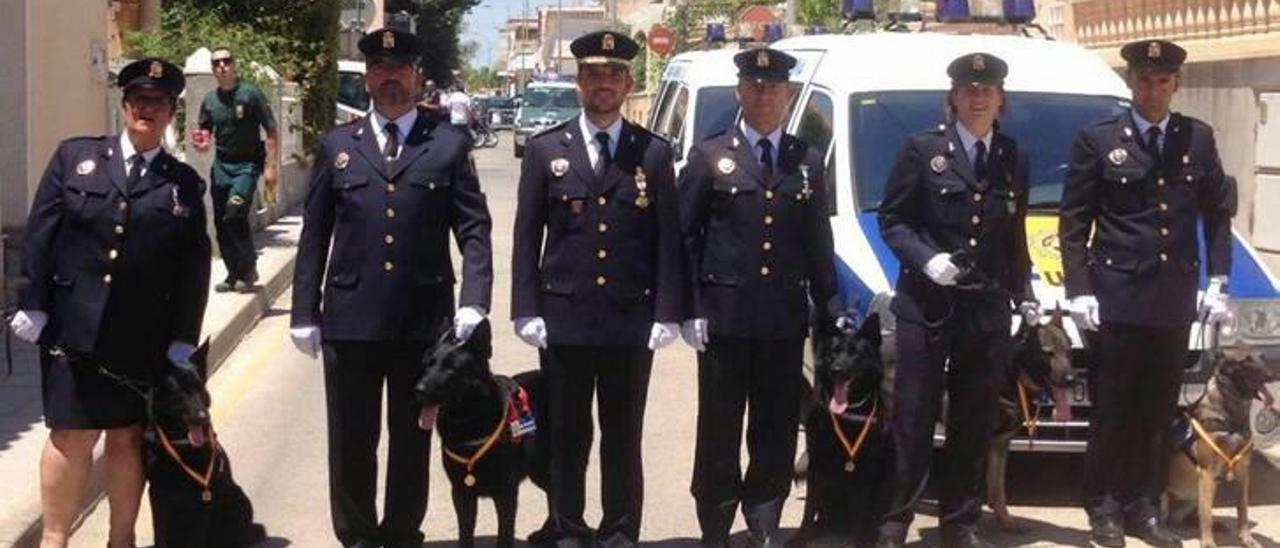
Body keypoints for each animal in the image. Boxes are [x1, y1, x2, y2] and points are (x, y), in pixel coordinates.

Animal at [144, 345, 263, 545]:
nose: (203, 417)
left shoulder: (204, 500)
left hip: (238, 499)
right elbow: (160, 535)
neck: (180, 445)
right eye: (180, 392)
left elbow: (199, 536)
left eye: (200, 389)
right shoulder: (158, 496)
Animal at [412, 318, 547, 548]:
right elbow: (465, 534)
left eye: (451, 368)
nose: (418, 391)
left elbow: (504, 535)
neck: (470, 420)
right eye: (428, 364)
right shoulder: (461, 493)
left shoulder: (506, 493)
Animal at [788, 312, 890, 548]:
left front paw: (862, 540)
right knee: (821, 515)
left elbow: (864, 514)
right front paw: (801, 537)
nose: (837, 370)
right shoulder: (817, 465)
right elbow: (808, 511)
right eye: (834, 352)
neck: (849, 413)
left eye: (855, 355)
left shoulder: (868, 471)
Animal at [1167, 345, 1274, 548]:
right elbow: (1206, 515)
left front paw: (1247, 538)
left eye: (1262, 357)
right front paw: (1208, 542)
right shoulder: (1207, 473)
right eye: (1245, 360)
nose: (1271, 375)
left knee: (1193, 514)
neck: (1231, 418)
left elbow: (1243, 509)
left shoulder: (1243, 472)